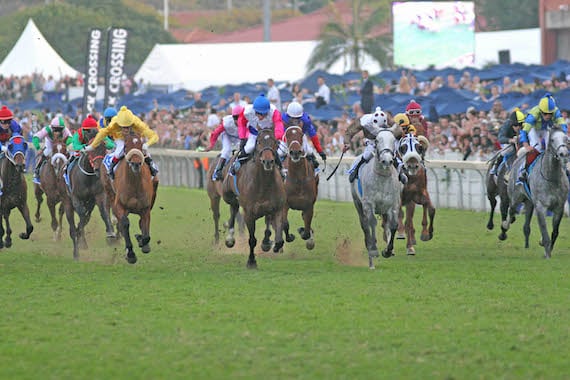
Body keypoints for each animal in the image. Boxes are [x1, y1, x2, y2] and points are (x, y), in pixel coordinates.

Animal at [108, 129, 158, 262]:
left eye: (140, 145)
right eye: (126, 145)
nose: (136, 163)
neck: (135, 184)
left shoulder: (146, 208)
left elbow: (145, 231)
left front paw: (141, 240)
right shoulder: (119, 205)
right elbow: (125, 223)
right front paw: (130, 253)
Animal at [221, 127, 286, 268]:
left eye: (275, 142)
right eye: (259, 142)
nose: (268, 161)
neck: (264, 183)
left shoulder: (278, 208)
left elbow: (279, 239)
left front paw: (270, 244)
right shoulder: (249, 213)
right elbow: (252, 239)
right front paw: (251, 261)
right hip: (228, 195)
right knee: (233, 209)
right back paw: (230, 238)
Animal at [350, 128, 400, 270]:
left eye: (393, 140)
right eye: (377, 140)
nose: (387, 160)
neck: (382, 178)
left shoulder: (393, 205)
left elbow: (394, 225)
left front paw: (388, 251)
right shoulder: (368, 204)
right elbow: (372, 223)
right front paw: (373, 249)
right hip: (358, 203)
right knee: (365, 226)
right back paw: (370, 257)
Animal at [504, 128, 564, 258]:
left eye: (567, 139)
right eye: (552, 140)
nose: (563, 153)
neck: (551, 176)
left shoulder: (559, 206)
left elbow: (555, 231)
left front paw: (546, 246)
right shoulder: (540, 205)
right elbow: (543, 228)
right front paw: (546, 251)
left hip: (529, 202)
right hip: (515, 197)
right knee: (511, 211)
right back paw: (504, 229)